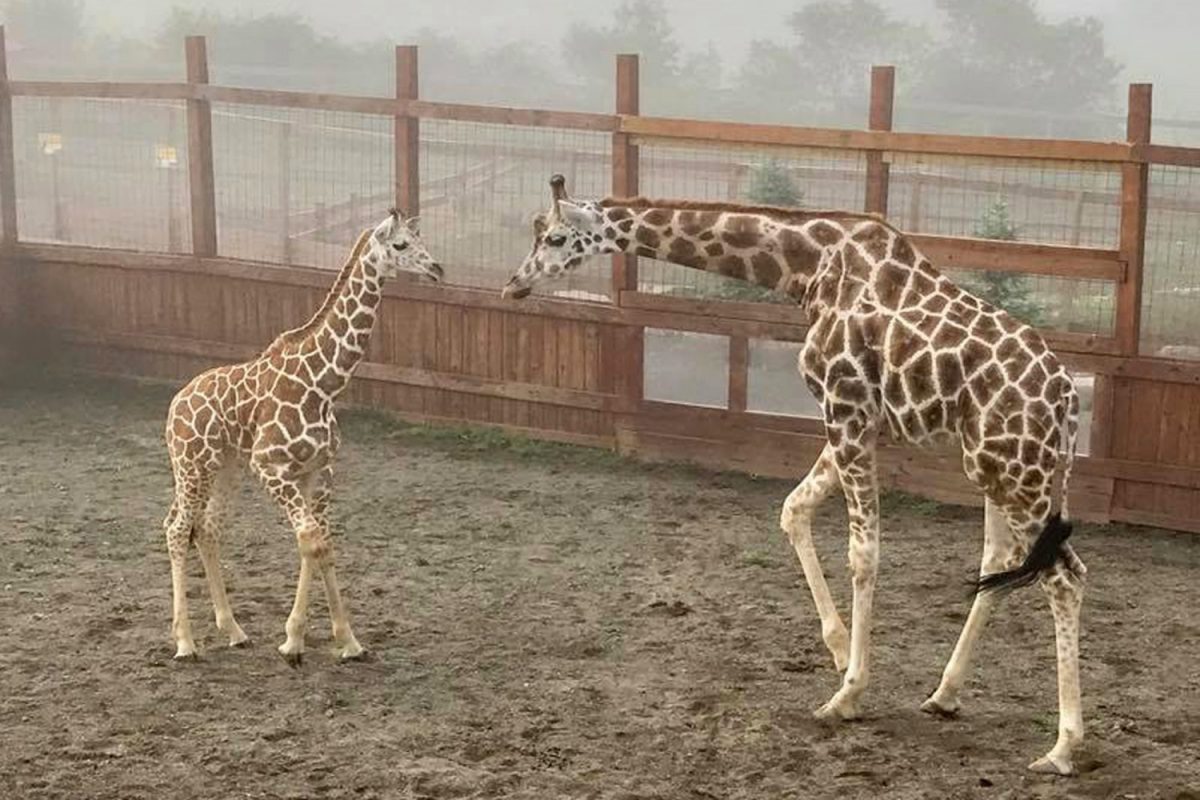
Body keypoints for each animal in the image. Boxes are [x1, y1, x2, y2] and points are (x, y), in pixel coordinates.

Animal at [160, 209, 441, 666]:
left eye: (422, 240)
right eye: (400, 245)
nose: (436, 268)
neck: (323, 386)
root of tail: (175, 404)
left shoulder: (319, 471)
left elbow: (318, 543)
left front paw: (336, 641)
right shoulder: (271, 467)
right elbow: (313, 541)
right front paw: (303, 641)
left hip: (226, 468)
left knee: (207, 529)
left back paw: (234, 631)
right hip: (192, 465)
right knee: (177, 528)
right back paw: (185, 642)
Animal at [504, 175, 1089, 777]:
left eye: (553, 237)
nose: (514, 284)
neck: (807, 269)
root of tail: (1068, 402)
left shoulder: (847, 409)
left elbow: (863, 554)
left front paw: (848, 695)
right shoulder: (858, 422)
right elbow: (793, 509)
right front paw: (838, 651)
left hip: (1020, 474)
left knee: (1065, 577)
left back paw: (1062, 746)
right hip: (994, 468)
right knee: (1000, 563)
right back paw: (944, 695)